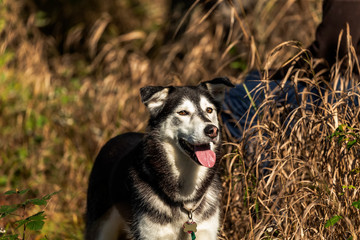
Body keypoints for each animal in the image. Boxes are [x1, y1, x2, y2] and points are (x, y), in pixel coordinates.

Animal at [86, 78, 235, 239]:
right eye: (183, 112)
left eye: (209, 110)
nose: (212, 130)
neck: (186, 199)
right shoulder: (152, 234)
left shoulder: (205, 231)